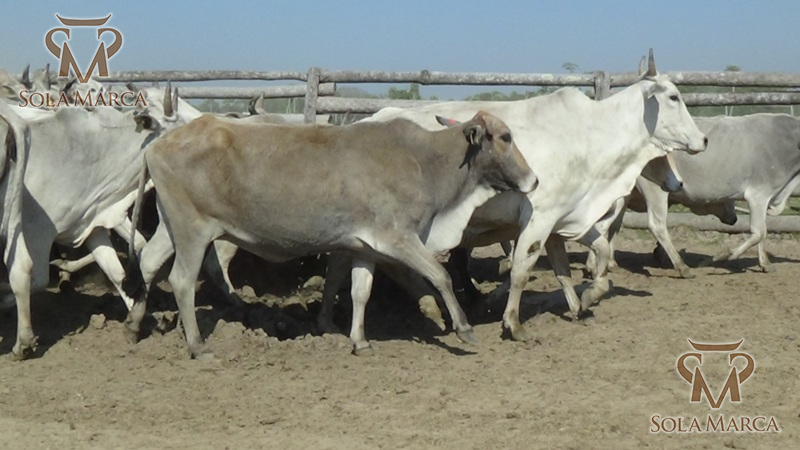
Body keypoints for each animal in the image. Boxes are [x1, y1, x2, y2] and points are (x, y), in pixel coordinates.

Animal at [122, 110, 538, 358]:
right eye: (504, 137)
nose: (534, 180)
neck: (422, 160)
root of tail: (159, 144)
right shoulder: (399, 238)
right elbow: (440, 277)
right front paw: (464, 329)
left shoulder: (367, 246)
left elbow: (359, 291)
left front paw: (359, 340)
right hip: (192, 230)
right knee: (180, 280)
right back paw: (197, 344)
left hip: (171, 227)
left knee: (148, 263)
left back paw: (134, 325)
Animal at [358, 50, 707, 341]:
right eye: (674, 96)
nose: (703, 140)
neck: (589, 138)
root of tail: (369, 119)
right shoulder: (539, 218)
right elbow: (521, 271)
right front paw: (512, 323)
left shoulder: (564, 219)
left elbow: (584, 260)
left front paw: (584, 301)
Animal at [607, 113, 800, 275]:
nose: (733, 218)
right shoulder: (758, 194)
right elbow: (759, 231)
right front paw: (725, 254)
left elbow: (763, 231)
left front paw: (765, 263)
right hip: (654, 186)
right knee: (657, 225)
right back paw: (682, 267)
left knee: (614, 223)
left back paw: (609, 263)